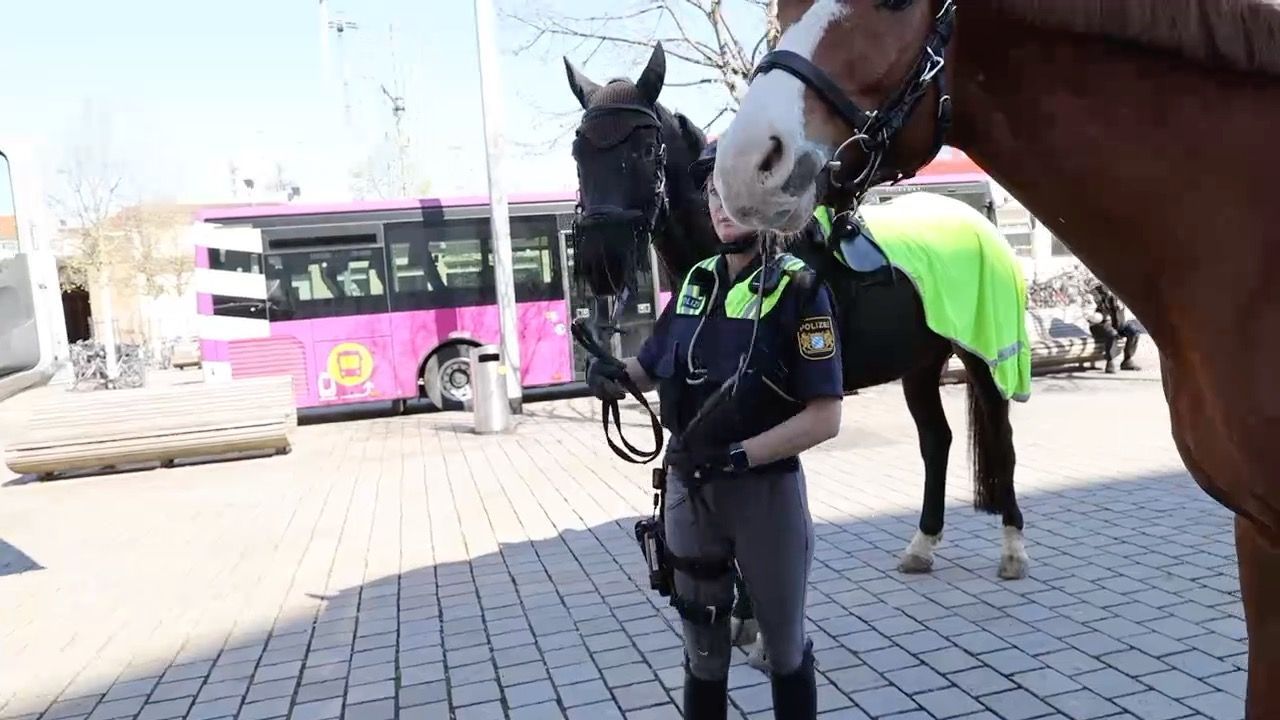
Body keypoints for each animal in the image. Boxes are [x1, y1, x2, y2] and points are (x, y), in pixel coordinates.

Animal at [562, 42, 1032, 585]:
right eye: (579, 153)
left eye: (642, 151)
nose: (600, 261)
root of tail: (981, 223)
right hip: (919, 364)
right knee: (936, 441)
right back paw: (922, 544)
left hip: (984, 358)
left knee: (1002, 440)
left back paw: (1013, 548)